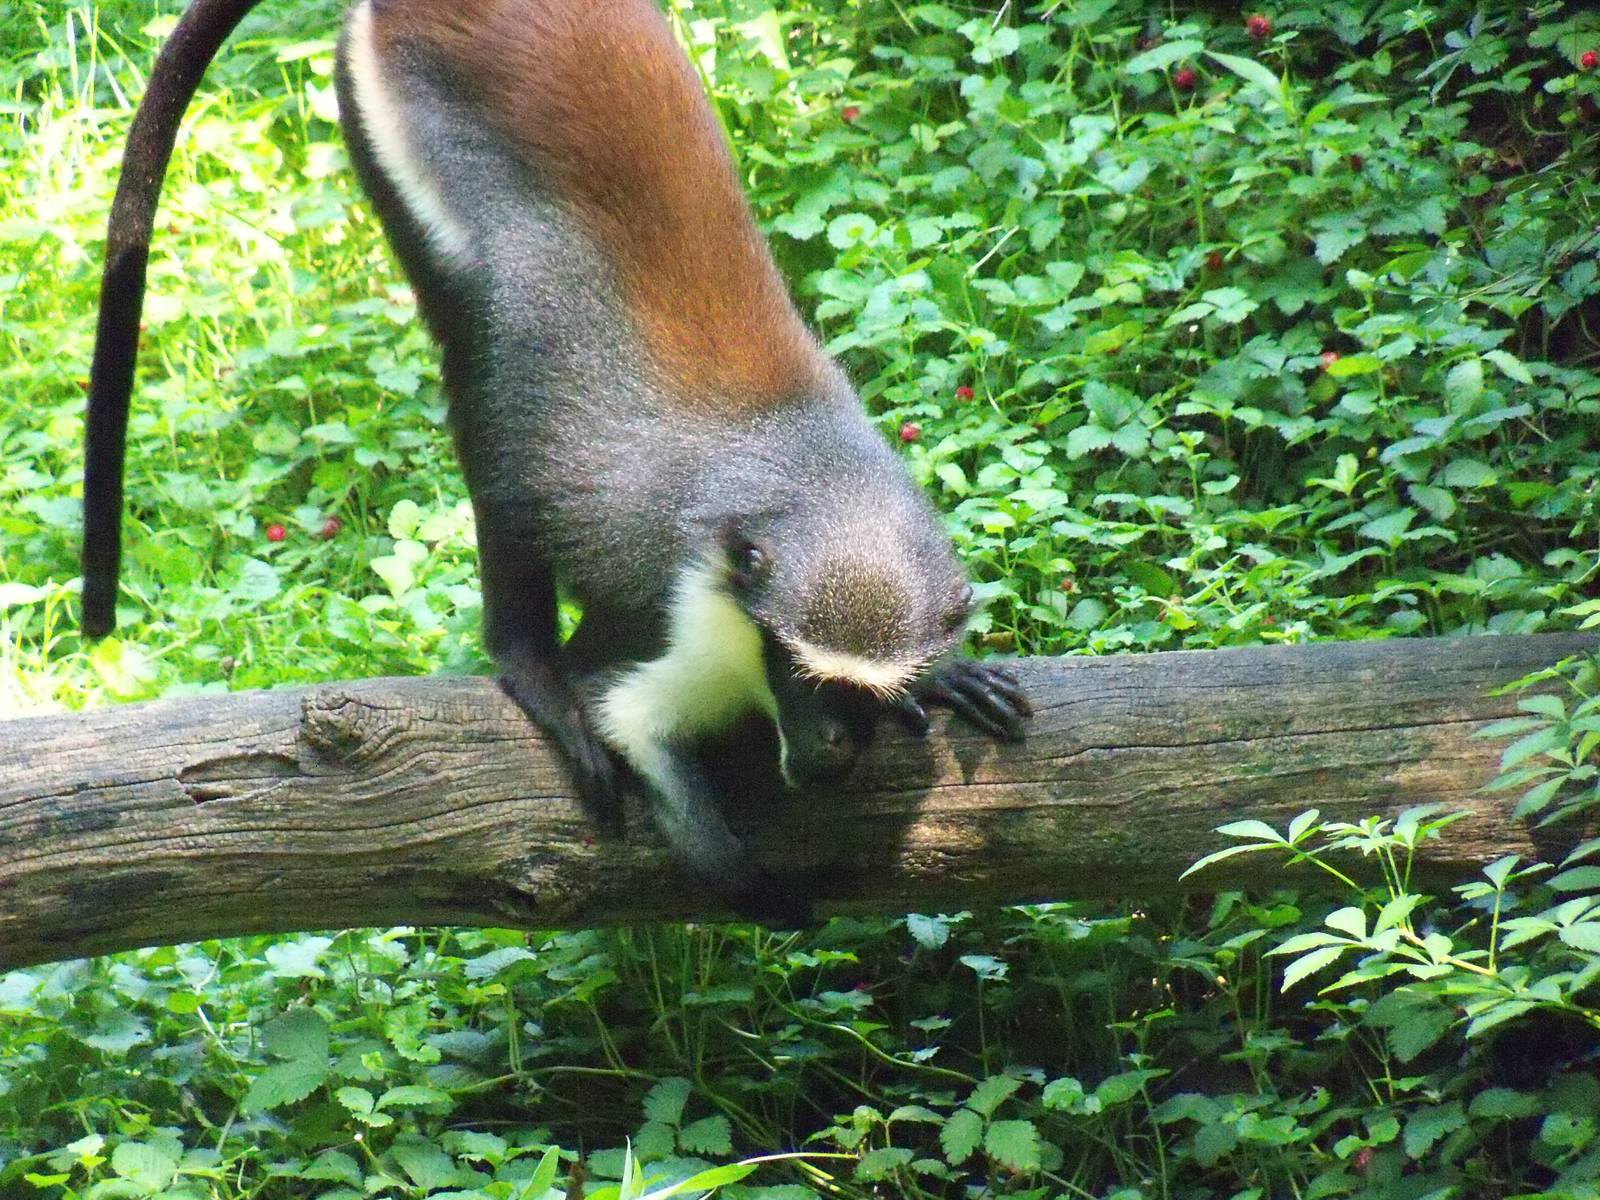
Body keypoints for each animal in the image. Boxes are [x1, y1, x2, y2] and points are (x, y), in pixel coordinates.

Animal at [80, 0, 1032, 923]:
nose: (831, 748)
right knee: (484, 382)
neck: (807, 477)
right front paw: (745, 882)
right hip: (397, 131)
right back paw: (529, 664)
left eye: (859, 689)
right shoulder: (686, 618)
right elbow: (626, 713)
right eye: (797, 669)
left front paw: (944, 680)